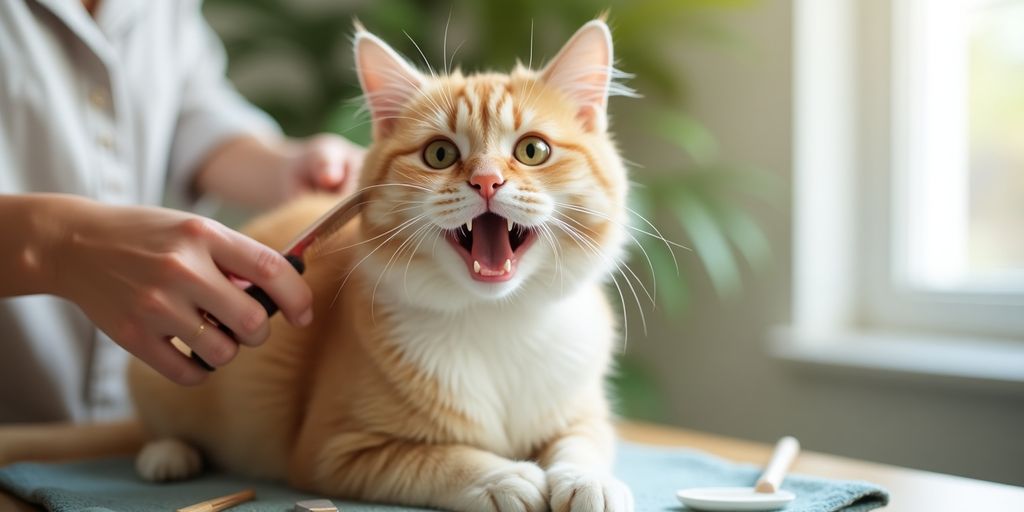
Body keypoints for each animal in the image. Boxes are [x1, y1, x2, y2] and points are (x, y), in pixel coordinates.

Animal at [129, 18, 634, 509]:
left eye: (533, 150)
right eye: (439, 154)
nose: (487, 181)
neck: (497, 316)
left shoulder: (583, 412)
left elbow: (583, 441)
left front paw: (588, 480)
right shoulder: (334, 450)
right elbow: (440, 460)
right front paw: (502, 476)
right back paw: (167, 455)